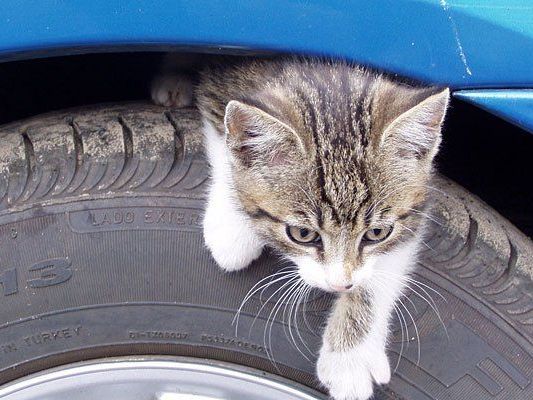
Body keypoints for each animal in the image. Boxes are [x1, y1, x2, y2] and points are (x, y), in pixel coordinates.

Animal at [152, 58, 446, 400]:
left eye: (376, 233)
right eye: (304, 235)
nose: (339, 284)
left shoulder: (416, 206)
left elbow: (383, 270)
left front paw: (350, 357)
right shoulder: (224, 79)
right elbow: (223, 134)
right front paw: (232, 225)